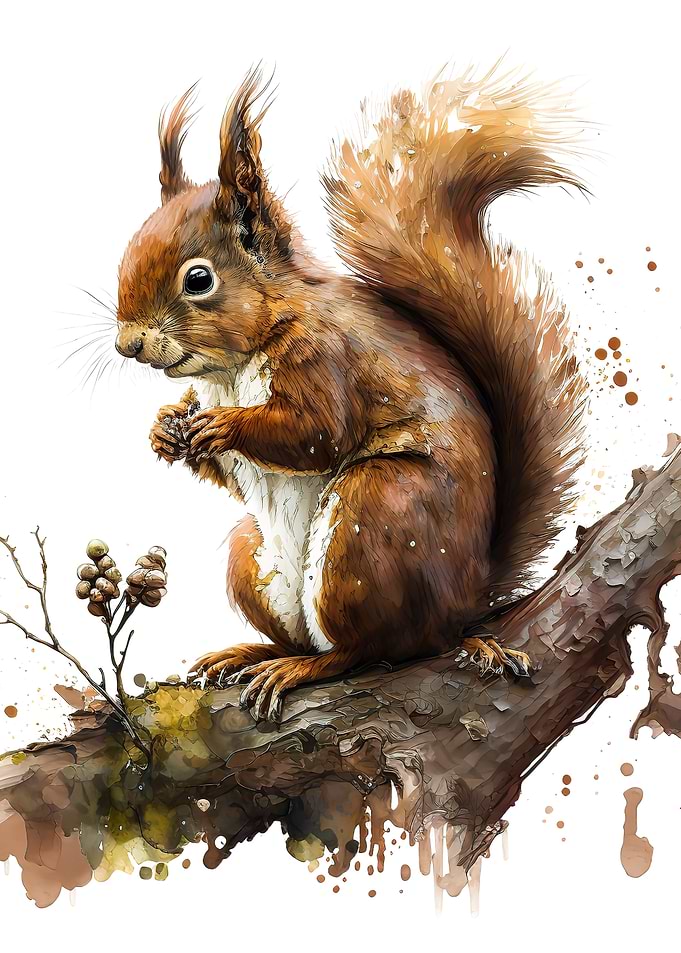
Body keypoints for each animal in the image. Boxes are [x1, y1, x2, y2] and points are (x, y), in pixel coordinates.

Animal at [115, 65, 587, 722]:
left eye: (199, 279)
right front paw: (165, 428)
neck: (234, 367)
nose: (126, 344)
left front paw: (224, 426)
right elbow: (229, 472)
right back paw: (249, 654)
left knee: (372, 649)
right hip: (249, 553)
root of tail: (467, 599)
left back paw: (299, 668)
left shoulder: (324, 358)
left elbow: (318, 434)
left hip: (371, 521)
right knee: (308, 631)